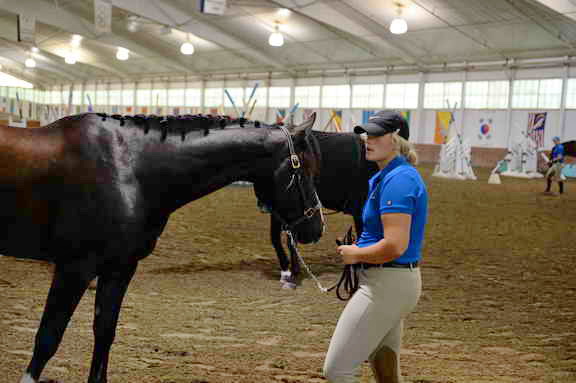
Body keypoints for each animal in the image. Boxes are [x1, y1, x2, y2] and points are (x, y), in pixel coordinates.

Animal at [1, 112, 324, 383]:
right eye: (304, 170)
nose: (317, 228)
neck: (130, 166)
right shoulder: (75, 268)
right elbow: (47, 339)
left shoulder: (119, 268)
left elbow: (104, 333)